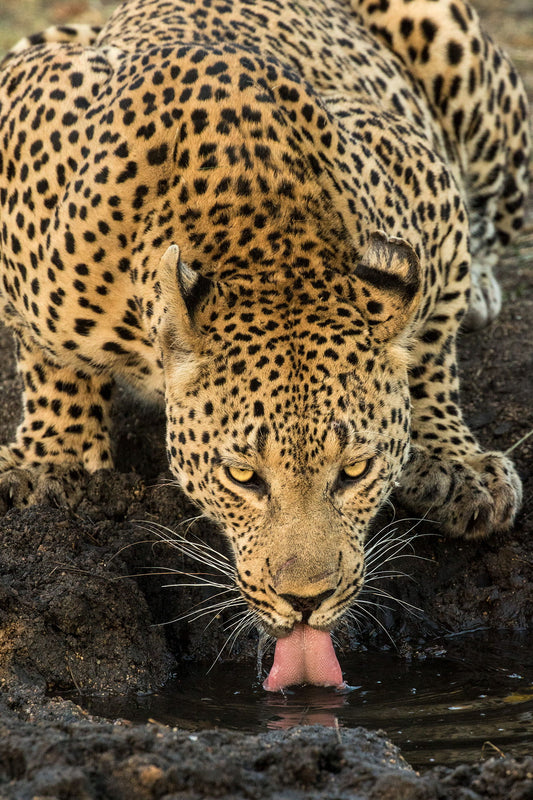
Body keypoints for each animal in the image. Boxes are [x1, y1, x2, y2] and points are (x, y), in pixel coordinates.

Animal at [0, 0, 529, 649]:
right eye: (244, 476)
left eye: (355, 471)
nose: (306, 601)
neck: (271, 246)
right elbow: (52, 358)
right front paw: (56, 460)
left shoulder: (421, 174)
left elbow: (431, 337)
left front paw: (455, 463)